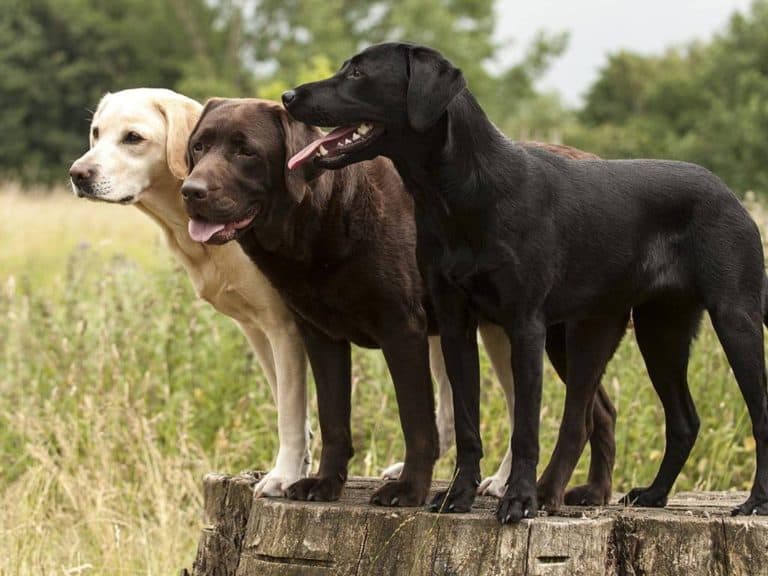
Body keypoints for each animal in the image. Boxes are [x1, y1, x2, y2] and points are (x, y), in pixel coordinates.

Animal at [284, 42, 768, 524]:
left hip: (733, 319)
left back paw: (754, 502)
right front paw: (458, 496)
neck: (461, 194)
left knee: (755, 413)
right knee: (673, 421)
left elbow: (525, 429)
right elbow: (468, 424)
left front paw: (517, 500)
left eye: (358, 73)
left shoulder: (524, 325)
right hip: (648, 331)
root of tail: (729, 193)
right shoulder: (456, 325)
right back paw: (650, 494)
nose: (289, 96)